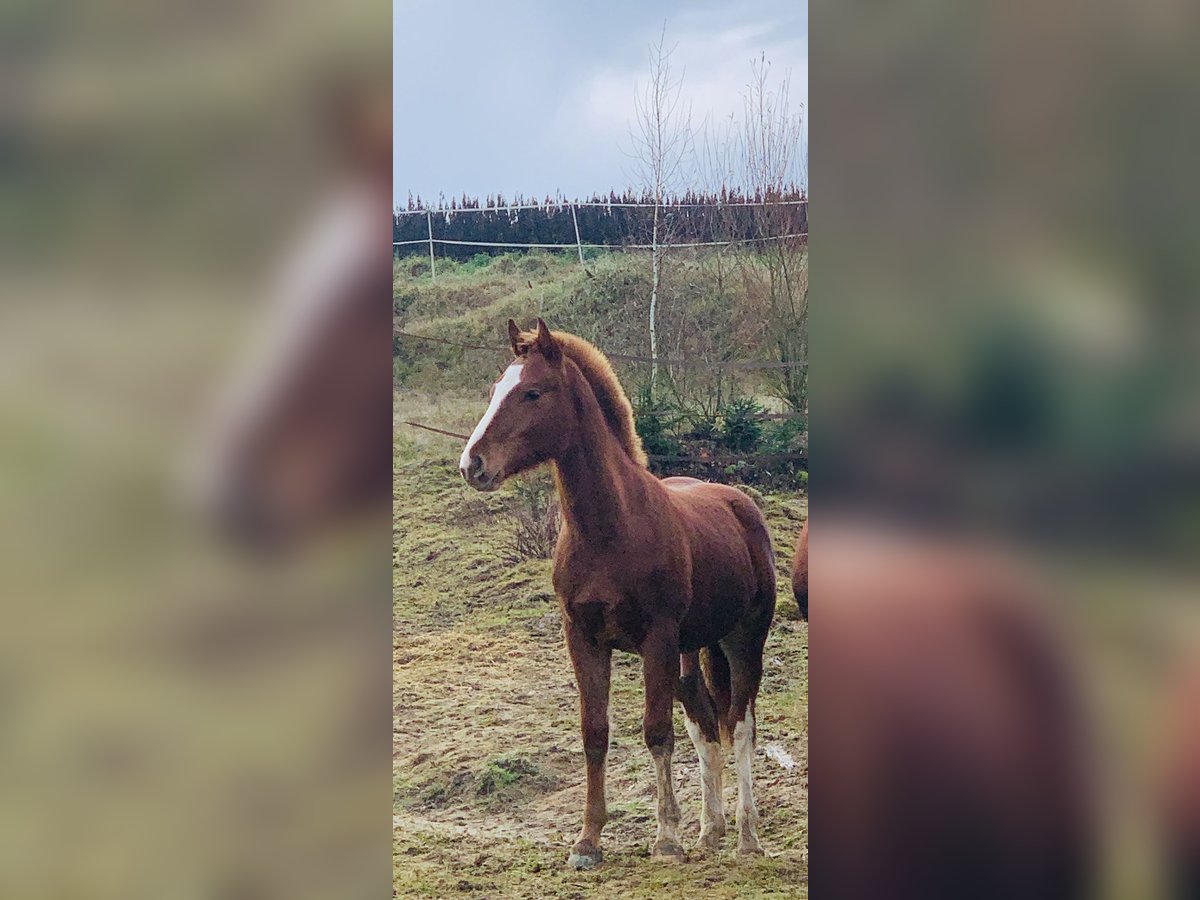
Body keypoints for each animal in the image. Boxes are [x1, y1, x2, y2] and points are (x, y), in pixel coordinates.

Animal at [458, 321, 777, 868]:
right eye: (497, 387)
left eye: (533, 392)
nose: (473, 464)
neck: (611, 531)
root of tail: (741, 504)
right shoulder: (583, 638)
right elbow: (595, 733)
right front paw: (587, 842)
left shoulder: (657, 639)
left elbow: (656, 732)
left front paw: (666, 838)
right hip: (693, 651)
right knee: (705, 724)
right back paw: (709, 832)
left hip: (742, 640)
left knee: (740, 724)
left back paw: (746, 837)